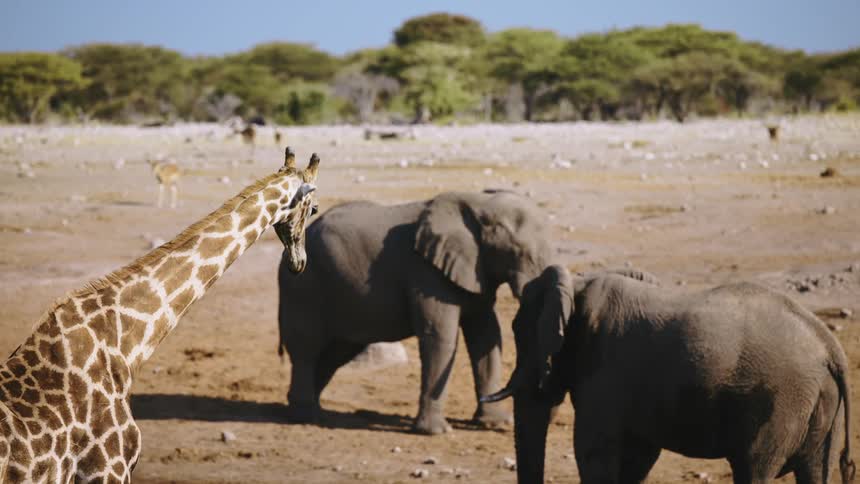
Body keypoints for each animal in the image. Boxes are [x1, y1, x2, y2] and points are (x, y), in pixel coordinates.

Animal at [278, 190, 554, 434]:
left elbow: (487, 338)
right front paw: (436, 432)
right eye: (523, 254)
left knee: (336, 353)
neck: (479, 203)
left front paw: (496, 424)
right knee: (306, 348)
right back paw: (305, 417)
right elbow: (440, 337)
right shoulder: (427, 273)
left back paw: (313, 411)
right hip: (303, 286)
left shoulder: (476, 270)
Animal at [483, 265, 855, 484]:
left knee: (753, 469)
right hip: (818, 401)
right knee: (816, 471)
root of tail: (830, 346)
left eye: (518, 330)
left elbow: (593, 452)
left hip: (781, 402)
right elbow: (637, 457)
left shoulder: (605, 373)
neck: (578, 283)